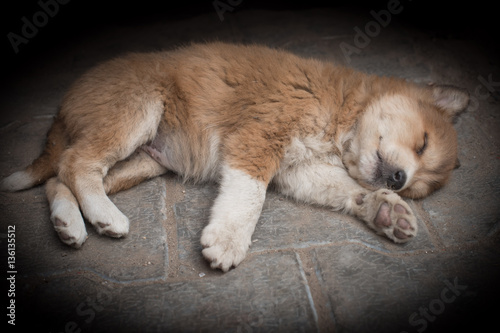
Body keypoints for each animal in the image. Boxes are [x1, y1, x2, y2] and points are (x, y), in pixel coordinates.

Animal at [0, 42, 468, 270]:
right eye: (423, 143)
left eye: (419, 187)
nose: (398, 181)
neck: (341, 114)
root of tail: (63, 105)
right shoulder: (259, 139)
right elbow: (248, 197)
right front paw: (227, 240)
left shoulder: (298, 170)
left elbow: (346, 190)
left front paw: (384, 210)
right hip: (138, 109)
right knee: (75, 164)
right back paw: (104, 216)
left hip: (144, 160)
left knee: (61, 176)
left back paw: (70, 223)